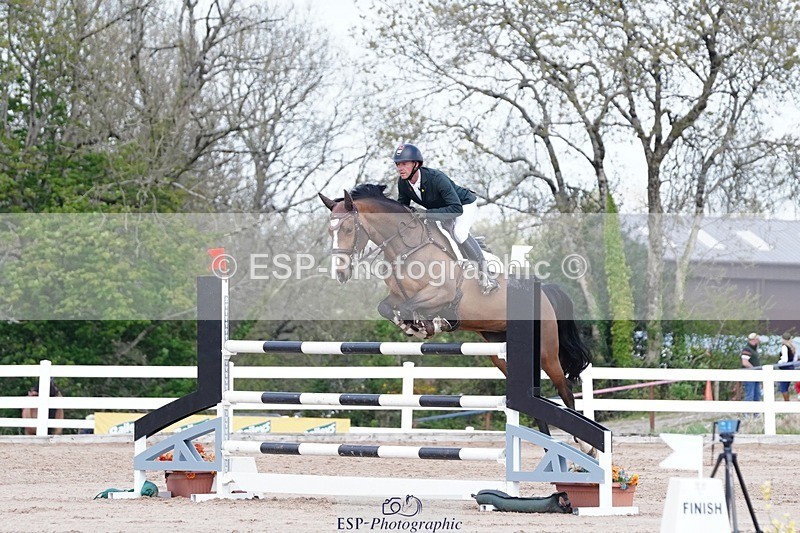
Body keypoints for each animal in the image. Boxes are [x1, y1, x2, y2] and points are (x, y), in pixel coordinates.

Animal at [318, 183, 592, 416]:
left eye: (348, 229)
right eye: (330, 231)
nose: (340, 273)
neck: (408, 247)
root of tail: (543, 291)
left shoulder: (442, 293)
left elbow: (411, 306)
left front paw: (430, 325)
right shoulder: (396, 295)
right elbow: (387, 308)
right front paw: (413, 326)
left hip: (546, 351)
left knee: (565, 390)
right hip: (498, 347)